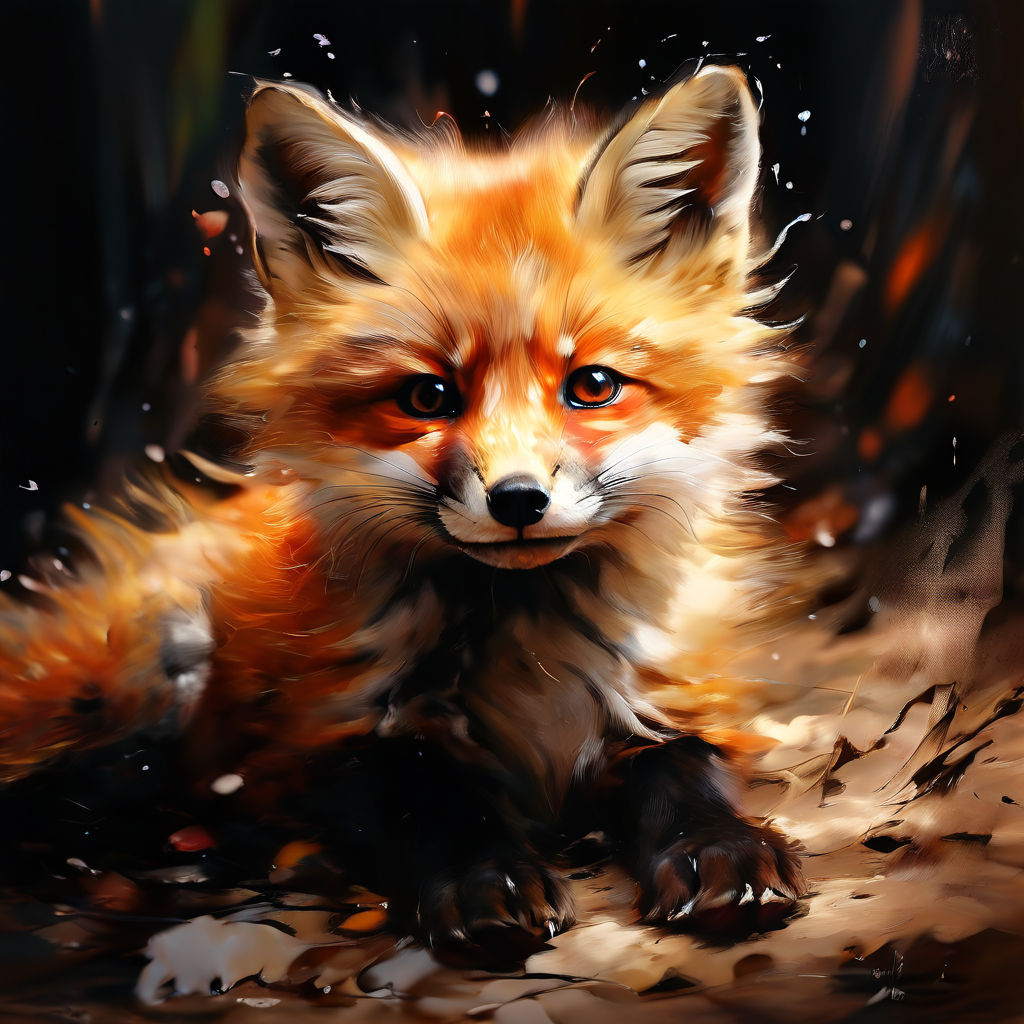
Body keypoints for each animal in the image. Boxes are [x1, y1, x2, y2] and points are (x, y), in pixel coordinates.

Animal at [0, 65, 804, 957]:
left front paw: (719, 848)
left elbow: (686, 769)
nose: (518, 500)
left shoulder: (673, 695)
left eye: (592, 386)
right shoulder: (325, 737)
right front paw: (487, 877)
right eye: (428, 396)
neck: (532, 658)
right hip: (150, 670)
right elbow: (428, 798)